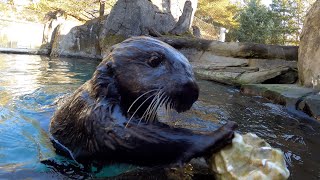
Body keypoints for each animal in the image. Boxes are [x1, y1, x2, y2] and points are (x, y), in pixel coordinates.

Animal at [48, 36, 236, 166]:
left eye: (188, 64)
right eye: (154, 60)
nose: (192, 88)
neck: (100, 92)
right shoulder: (98, 113)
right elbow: (129, 135)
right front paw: (218, 133)